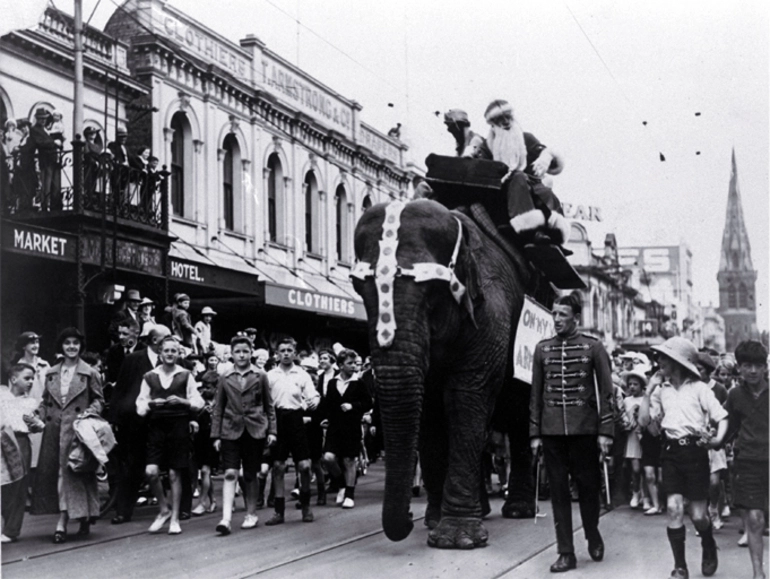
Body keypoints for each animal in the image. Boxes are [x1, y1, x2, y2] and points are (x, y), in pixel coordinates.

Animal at [348, 198, 552, 548]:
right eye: (358, 288)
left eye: (432, 292)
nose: (409, 517)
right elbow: (429, 409)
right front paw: (433, 521)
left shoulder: (491, 312)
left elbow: (464, 398)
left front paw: (457, 539)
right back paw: (480, 509)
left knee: (517, 411)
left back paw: (519, 510)